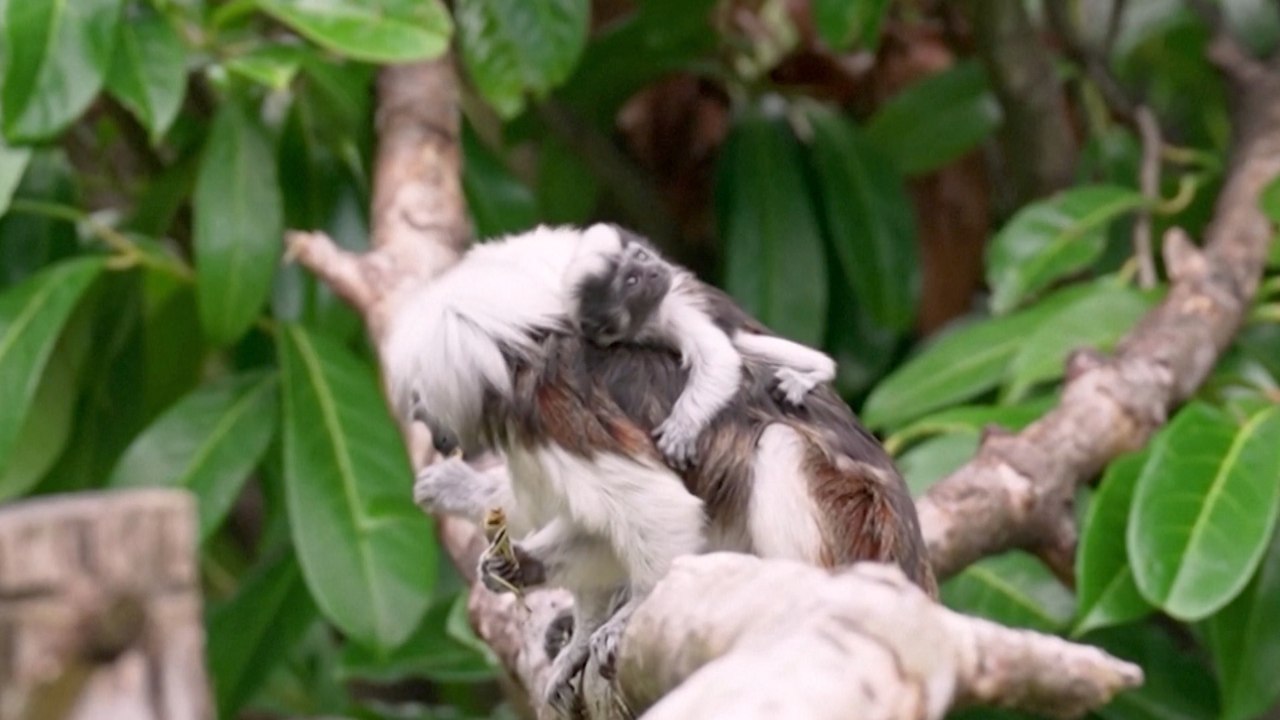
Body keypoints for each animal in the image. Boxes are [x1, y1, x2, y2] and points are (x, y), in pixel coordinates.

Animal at [561, 226, 837, 469]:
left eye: (641, 256)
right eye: (632, 280)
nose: (654, 272)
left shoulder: (672, 310)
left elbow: (718, 357)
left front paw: (682, 427)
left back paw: (817, 372)